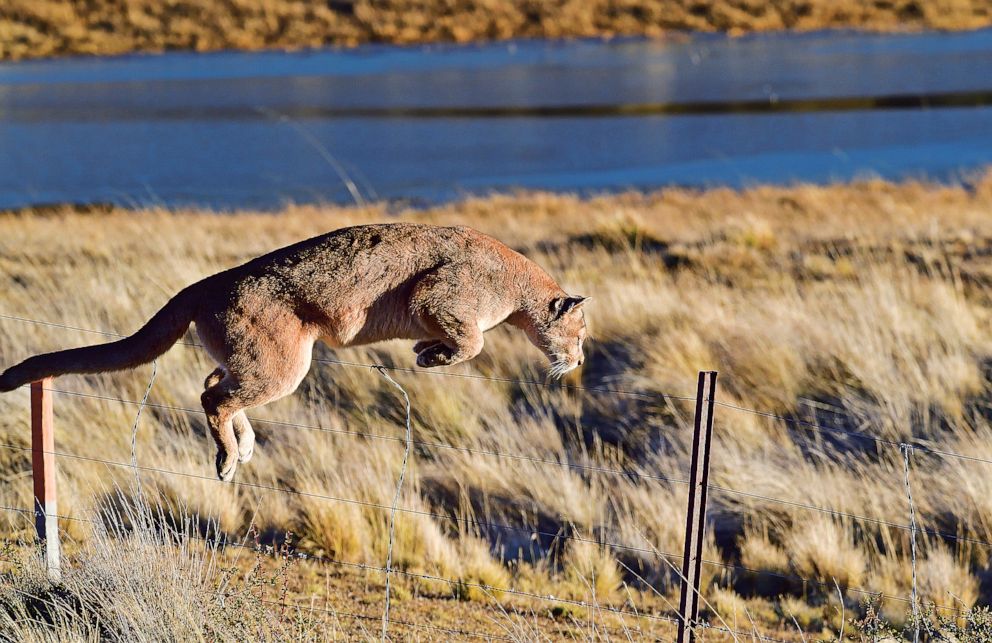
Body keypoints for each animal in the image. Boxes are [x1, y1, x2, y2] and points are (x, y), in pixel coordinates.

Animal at [0, 224, 588, 480]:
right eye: (581, 335)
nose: (580, 362)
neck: (518, 289)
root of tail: (205, 283)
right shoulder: (436, 294)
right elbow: (474, 340)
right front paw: (430, 356)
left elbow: (465, 340)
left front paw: (427, 349)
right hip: (284, 361)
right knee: (215, 397)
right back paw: (228, 457)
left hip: (254, 356)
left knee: (213, 384)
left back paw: (243, 446)